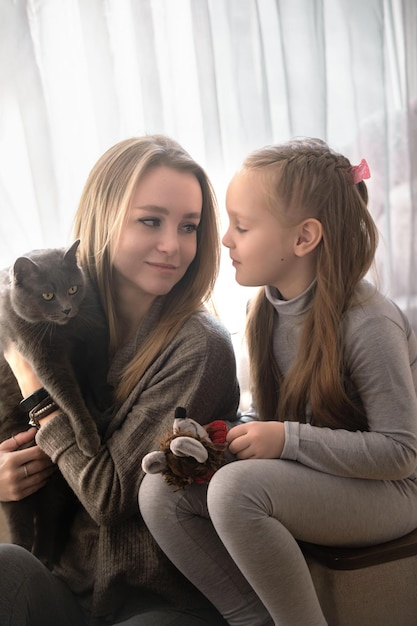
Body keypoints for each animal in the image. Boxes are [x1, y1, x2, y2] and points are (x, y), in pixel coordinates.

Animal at [0, 239, 111, 560]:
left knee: (49, 513)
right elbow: (67, 394)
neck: (66, 331)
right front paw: (88, 439)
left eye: (73, 289)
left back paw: (43, 556)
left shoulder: (94, 327)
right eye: (47, 295)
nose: (66, 308)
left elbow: (97, 368)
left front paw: (103, 401)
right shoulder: (41, 356)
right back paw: (26, 551)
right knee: (21, 517)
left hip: (54, 484)